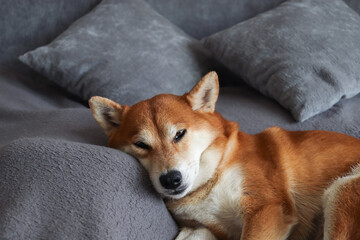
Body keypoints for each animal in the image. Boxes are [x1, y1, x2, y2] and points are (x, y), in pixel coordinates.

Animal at [88, 71, 360, 240]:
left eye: (179, 134)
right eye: (141, 144)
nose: (170, 180)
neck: (212, 177)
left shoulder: (267, 209)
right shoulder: (206, 228)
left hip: (342, 190)